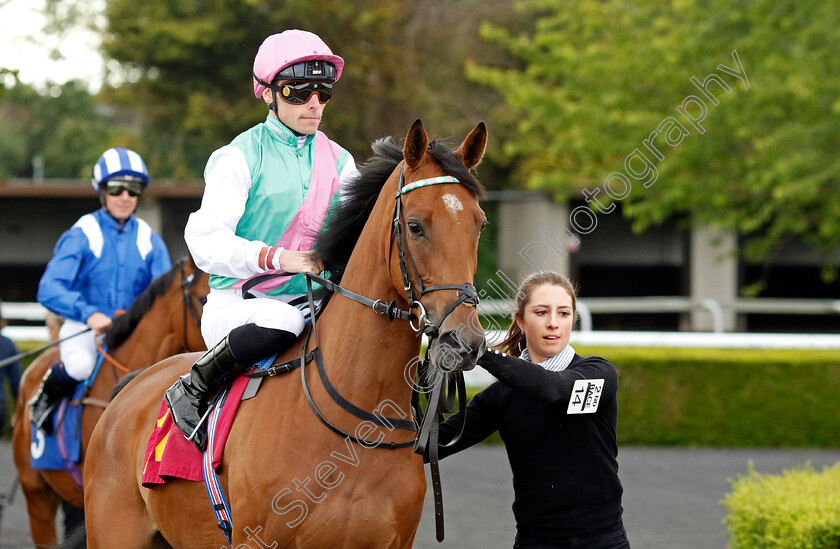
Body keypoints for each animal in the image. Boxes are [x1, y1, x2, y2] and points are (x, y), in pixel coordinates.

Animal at [82, 121, 488, 548]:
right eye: (415, 226)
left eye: (480, 224)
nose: (464, 342)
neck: (356, 420)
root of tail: (129, 387)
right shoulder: (256, 539)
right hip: (113, 533)